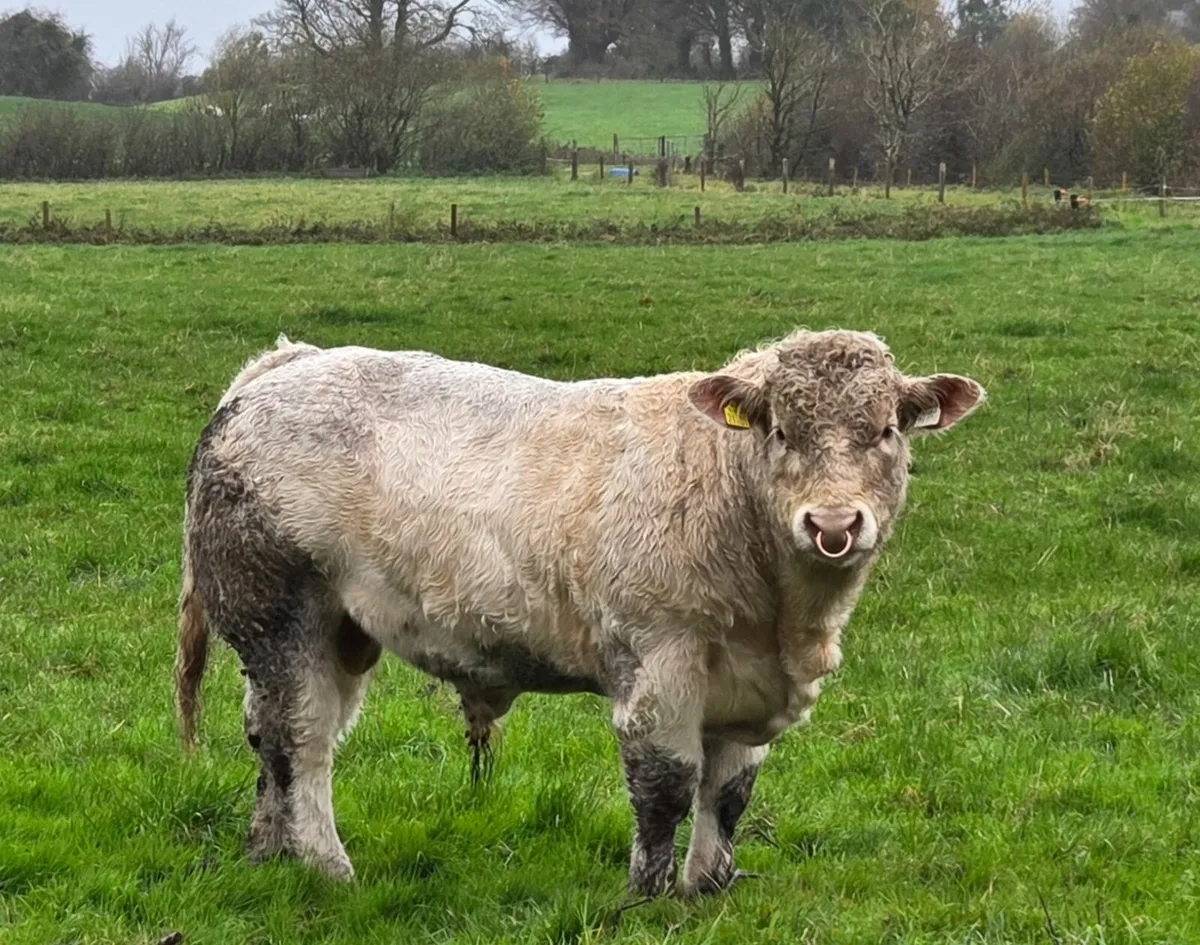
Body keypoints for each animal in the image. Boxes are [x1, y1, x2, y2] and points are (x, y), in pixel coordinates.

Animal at [175, 329, 985, 897]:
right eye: (780, 430)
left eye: (887, 430)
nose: (833, 523)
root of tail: (289, 363)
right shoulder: (659, 661)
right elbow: (666, 785)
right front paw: (649, 897)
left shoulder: (746, 684)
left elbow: (728, 794)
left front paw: (709, 888)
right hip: (282, 614)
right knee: (302, 741)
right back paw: (327, 865)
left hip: (336, 632)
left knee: (268, 734)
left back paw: (269, 850)